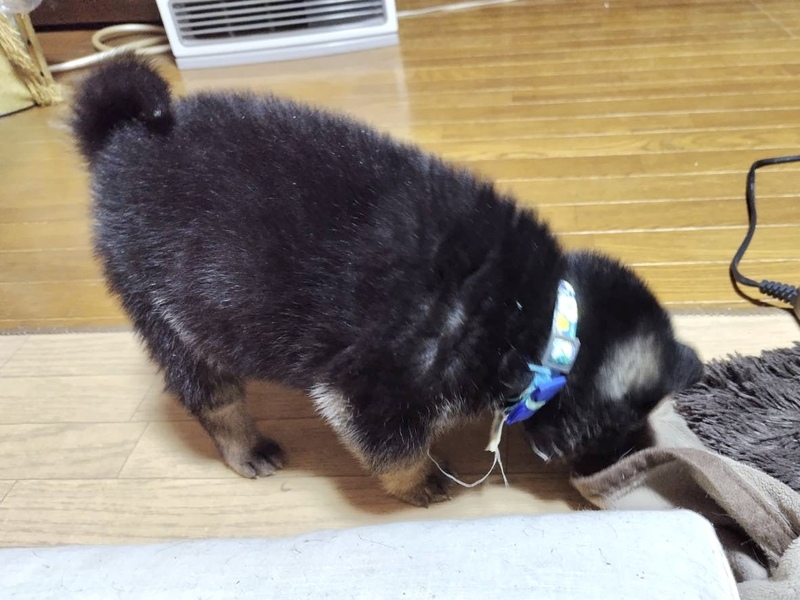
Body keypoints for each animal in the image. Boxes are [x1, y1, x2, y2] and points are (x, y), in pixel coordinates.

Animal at [71, 55, 703, 506]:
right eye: (607, 432)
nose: (620, 471)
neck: (544, 315)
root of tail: (123, 139)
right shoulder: (377, 388)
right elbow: (394, 449)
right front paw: (420, 483)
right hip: (170, 316)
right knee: (213, 398)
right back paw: (245, 446)